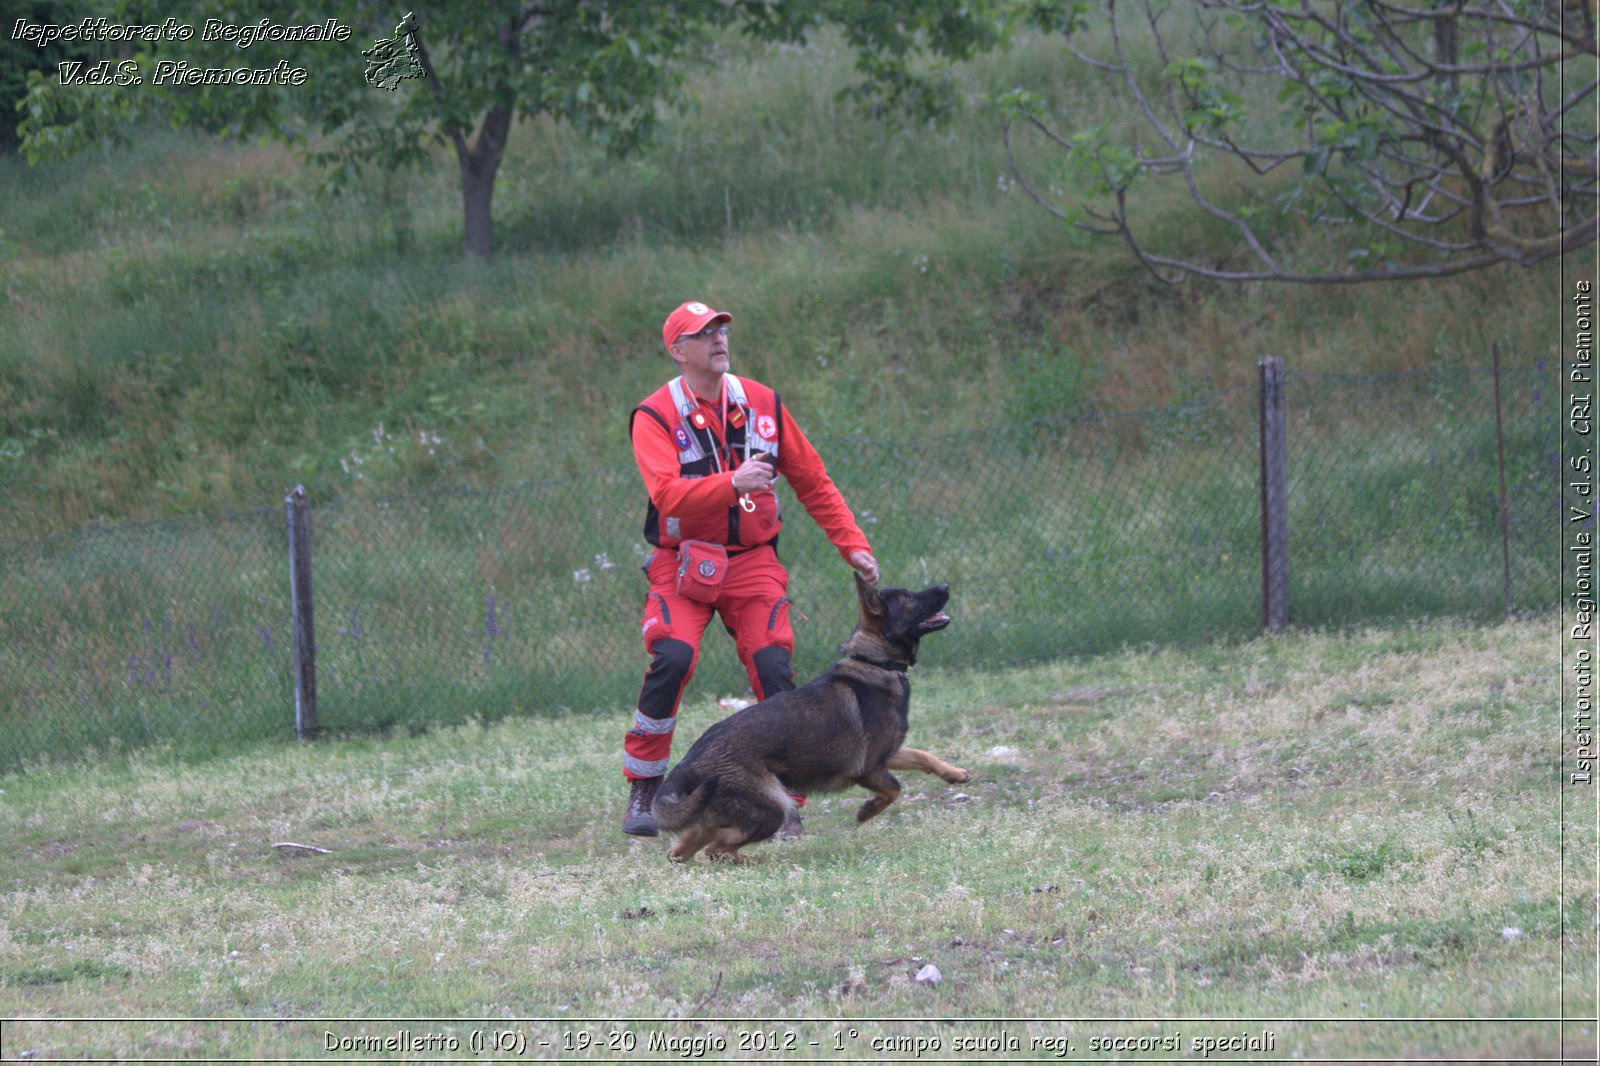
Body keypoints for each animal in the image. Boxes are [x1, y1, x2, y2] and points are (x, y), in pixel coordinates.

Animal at [652, 573, 972, 864]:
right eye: (907, 597)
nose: (945, 585)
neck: (876, 662)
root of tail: (688, 763)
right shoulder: (869, 769)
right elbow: (895, 788)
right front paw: (868, 810)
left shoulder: (887, 755)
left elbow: (922, 755)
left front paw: (954, 773)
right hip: (774, 808)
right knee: (717, 850)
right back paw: (762, 861)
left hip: (719, 817)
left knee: (683, 852)